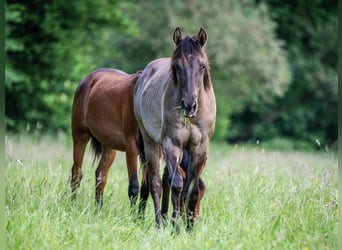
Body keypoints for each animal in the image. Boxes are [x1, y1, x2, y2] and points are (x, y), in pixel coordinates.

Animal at [70, 67, 142, 208]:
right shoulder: (132, 146)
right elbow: (134, 186)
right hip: (80, 136)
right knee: (76, 174)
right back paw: (72, 204)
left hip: (109, 147)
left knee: (100, 175)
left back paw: (98, 208)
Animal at [134, 27, 216, 229]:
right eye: (178, 67)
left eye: (202, 66)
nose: (189, 105)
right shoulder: (172, 144)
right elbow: (177, 184)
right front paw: (176, 225)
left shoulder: (200, 148)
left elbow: (192, 188)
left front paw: (188, 227)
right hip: (150, 143)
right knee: (156, 182)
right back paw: (159, 222)